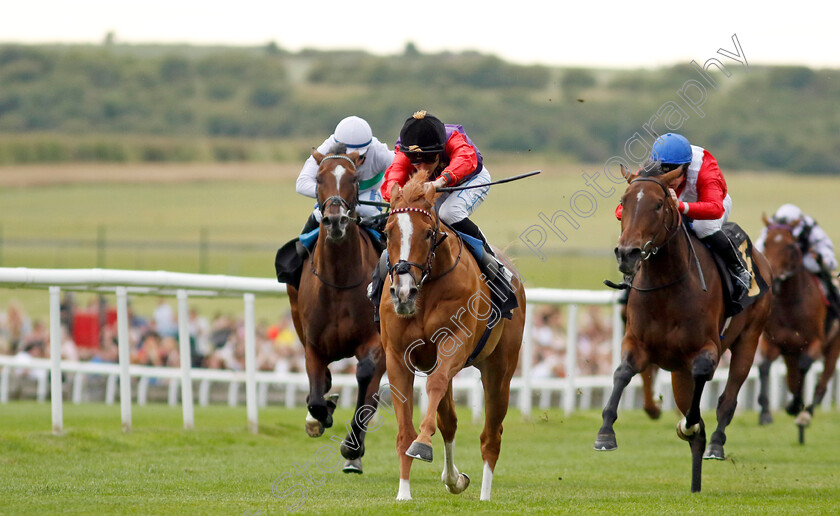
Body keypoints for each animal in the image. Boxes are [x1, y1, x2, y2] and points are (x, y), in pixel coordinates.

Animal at [286, 143, 384, 474]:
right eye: (319, 179)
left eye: (354, 179)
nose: (336, 220)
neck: (340, 281)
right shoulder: (313, 345)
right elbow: (317, 396)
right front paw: (322, 414)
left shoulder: (375, 341)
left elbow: (366, 377)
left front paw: (351, 447)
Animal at [380, 171, 524, 502]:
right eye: (387, 232)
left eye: (428, 233)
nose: (403, 293)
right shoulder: (397, 357)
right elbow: (406, 429)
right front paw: (403, 492)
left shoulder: (455, 343)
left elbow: (434, 387)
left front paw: (422, 444)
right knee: (449, 421)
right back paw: (454, 479)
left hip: (499, 370)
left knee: (491, 435)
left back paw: (485, 496)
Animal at [592, 165, 772, 492]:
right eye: (623, 202)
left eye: (658, 205)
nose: (627, 253)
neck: (668, 286)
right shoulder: (637, 343)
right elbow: (623, 372)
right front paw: (605, 433)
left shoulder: (706, 349)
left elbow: (701, 387)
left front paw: (689, 425)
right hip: (678, 372)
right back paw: (695, 481)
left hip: (749, 338)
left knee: (728, 397)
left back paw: (715, 444)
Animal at [756, 214, 840, 440]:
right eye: (766, 243)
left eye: (790, 246)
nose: (773, 278)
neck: (789, 303)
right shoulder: (773, 342)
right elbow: (764, 367)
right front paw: (765, 413)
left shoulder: (815, 342)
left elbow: (805, 366)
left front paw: (795, 406)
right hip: (789, 354)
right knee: (793, 379)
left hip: (832, 347)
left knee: (822, 383)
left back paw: (806, 413)